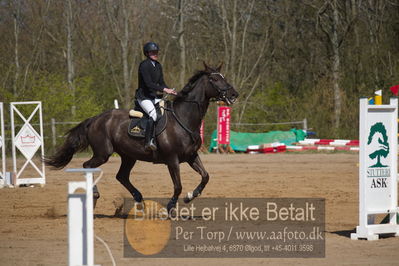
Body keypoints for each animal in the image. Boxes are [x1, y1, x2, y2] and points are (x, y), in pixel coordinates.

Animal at [44, 63, 238, 213]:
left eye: (223, 77)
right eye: (214, 79)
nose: (234, 95)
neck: (184, 118)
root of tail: (95, 118)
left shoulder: (191, 156)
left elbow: (205, 177)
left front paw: (190, 196)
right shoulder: (172, 159)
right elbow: (178, 185)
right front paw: (169, 208)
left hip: (128, 156)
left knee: (121, 176)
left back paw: (140, 201)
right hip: (103, 153)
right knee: (87, 166)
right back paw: (96, 195)